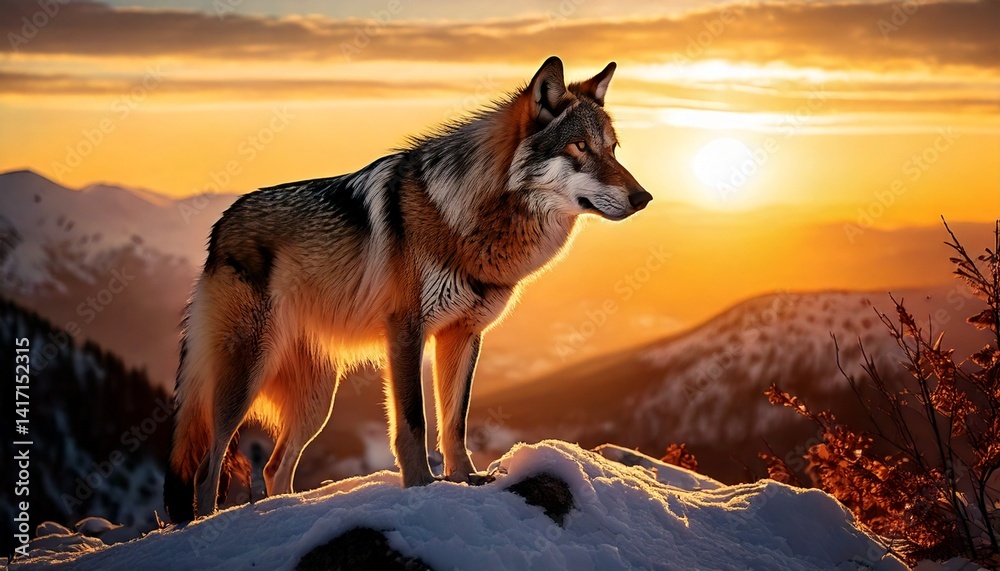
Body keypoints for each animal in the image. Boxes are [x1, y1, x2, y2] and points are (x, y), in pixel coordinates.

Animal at [163, 56, 651, 522]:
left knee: (272, 466)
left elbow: (455, 422)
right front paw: (421, 488)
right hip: (246, 377)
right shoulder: (406, 331)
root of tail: (219, 229)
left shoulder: (463, 335)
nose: (644, 198)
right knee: (207, 468)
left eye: (612, 149)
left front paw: (465, 479)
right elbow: (414, 422)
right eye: (579, 147)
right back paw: (207, 527)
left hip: (318, 400)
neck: (471, 219)